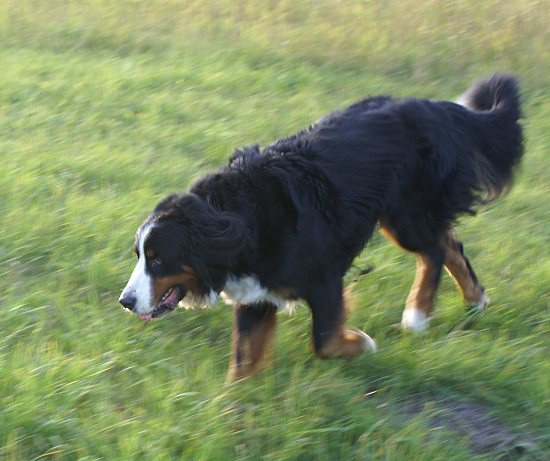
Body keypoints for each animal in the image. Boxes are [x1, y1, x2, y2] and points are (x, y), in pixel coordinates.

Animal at [119, 74, 523, 381]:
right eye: (140, 255)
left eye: (158, 259)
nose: (126, 301)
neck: (239, 220)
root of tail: (434, 107)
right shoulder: (256, 295)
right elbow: (243, 363)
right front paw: (236, 414)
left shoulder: (323, 277)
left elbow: (325, 341)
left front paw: (363, 343)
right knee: (451, 245)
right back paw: (474, 300)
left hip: (406, 216)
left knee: (436, 251)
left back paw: (417, 315)